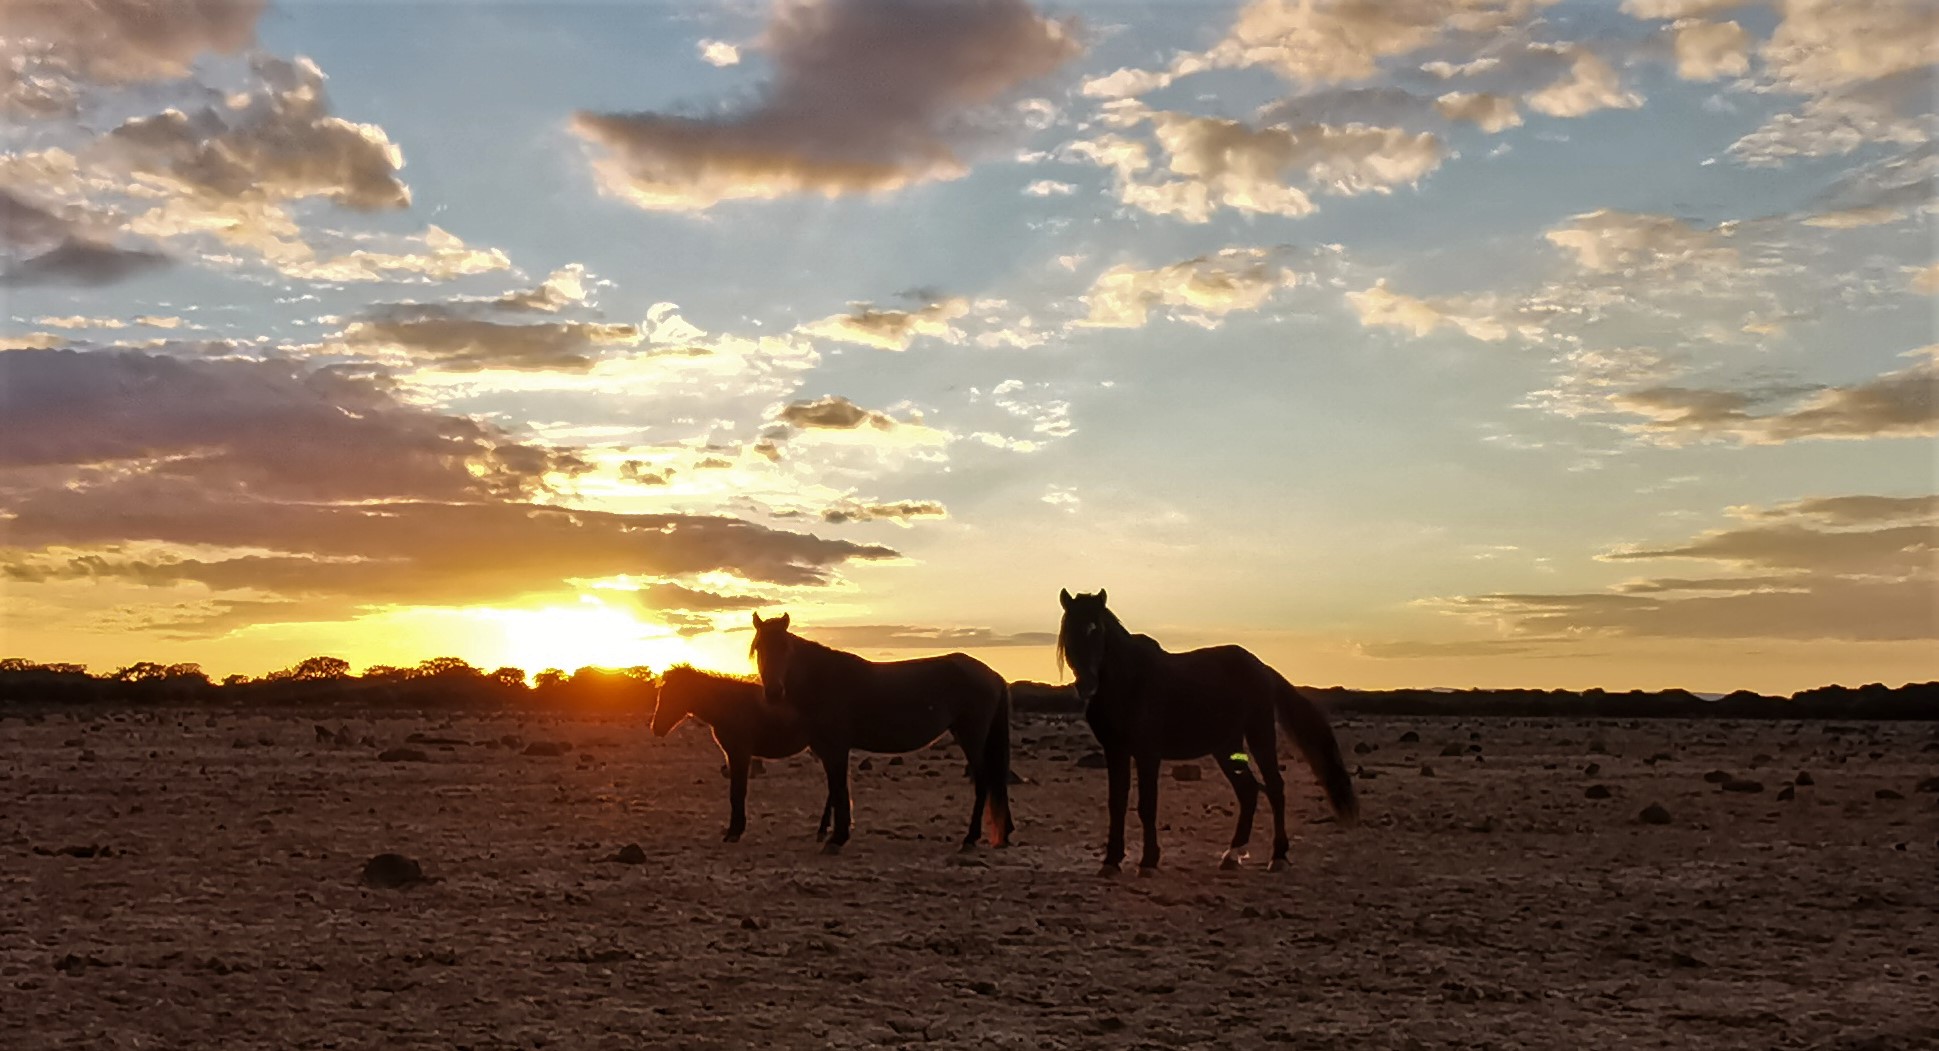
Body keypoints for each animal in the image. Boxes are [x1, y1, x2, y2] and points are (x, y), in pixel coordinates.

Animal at [651, 667, 833, 849]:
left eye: (673, 695)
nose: (656, 728)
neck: (730, 706)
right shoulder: (733, 756)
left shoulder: (740, 755)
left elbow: (737, 792)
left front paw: (734, 832)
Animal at [748, 616, 1016, 857]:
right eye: (759, 647)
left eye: (785, 647)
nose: (774, 692)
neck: (824, 680)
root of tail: (993, 675)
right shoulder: (827, 749)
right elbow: (834, 789)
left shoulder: (836, 748)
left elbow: (839, 789)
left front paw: (837, 838)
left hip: (972, 737)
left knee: (983, 781)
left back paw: (970, 838)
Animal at [1054, 593, 1357, 880]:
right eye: (1068, 630)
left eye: (1096, 629)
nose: (1086, 685)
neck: (1129, 683)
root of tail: (1262, 668)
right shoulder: (1115, 751)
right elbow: (1116, 804)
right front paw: (1111, 861)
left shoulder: (1147, 754)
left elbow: (1146, 806)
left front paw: (1148, 862)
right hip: (1226, 747)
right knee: (1248, 791)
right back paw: (1232, 855)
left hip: (1259, 735)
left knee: (1274, 788)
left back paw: (1278, 857)